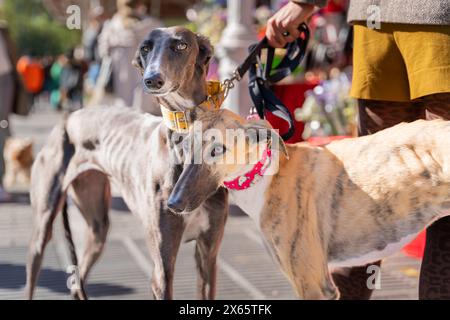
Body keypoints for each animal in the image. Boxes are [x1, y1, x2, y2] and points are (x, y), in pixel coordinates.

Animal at [24, 27, 227, 300]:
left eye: (181, 45)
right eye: (145, 48)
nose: (152, 79)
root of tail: (67, 119)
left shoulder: (208, 253)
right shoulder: (162, 270)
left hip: (97, 227)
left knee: (77, 283)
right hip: (43, 224)